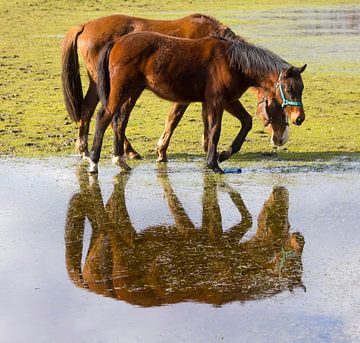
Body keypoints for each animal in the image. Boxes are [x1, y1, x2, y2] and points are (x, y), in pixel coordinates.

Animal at [93, 30, 306, 173]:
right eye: (288, 90)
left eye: (301, 88)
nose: (299, 118)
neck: (232, 62)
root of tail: (117, 41)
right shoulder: (217, 101)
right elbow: (214, 130)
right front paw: (213, 164)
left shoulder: (228, 100)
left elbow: (246, 122)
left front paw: (223, 155)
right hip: (122, 91)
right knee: (104, 117)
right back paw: (94, 162)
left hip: (132, 92)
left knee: (120, 121)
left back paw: (120, 160)